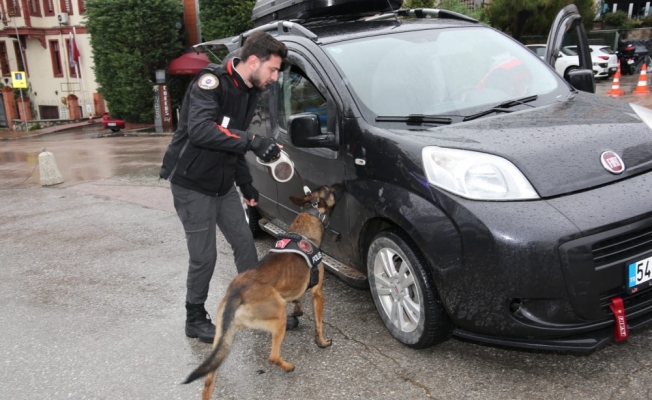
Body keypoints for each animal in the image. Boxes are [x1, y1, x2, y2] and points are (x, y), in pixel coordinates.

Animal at [183, 185, 342, 400]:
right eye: (330, 189)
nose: (341, 185)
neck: (309, 216)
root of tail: (236, 292)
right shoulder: (318, 292)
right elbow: (319, 323)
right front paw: (322, 342)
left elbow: (297, 297)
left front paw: (298, 309)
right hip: (278, 317)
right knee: (273, 356)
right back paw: (288, 366)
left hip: (222, 340)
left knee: (209, 377)